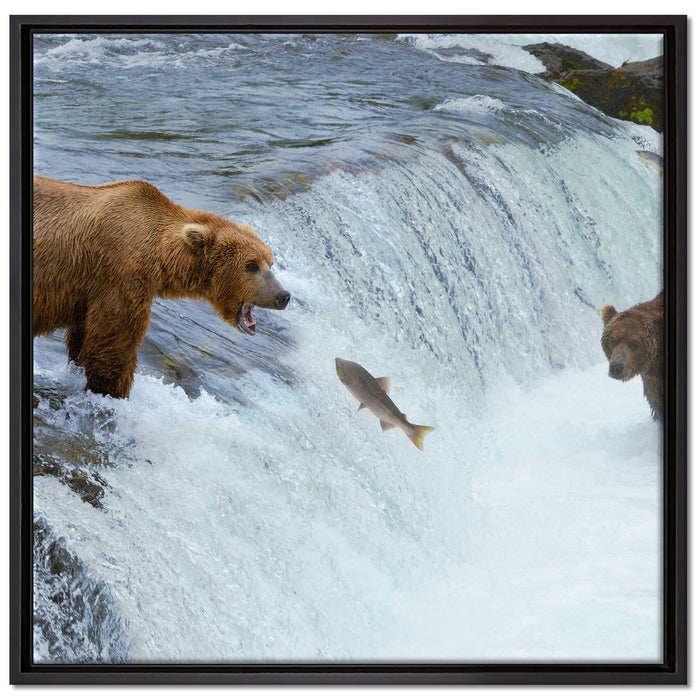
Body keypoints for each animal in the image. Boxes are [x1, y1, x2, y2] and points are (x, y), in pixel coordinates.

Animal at [33, 175, 291, 399]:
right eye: (251, 265)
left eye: (270, 261)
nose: (283, 295)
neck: (159, 256)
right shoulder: (120, 275)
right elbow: (113, 346)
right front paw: (113, 393)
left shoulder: (88, 292)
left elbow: (82, 338)